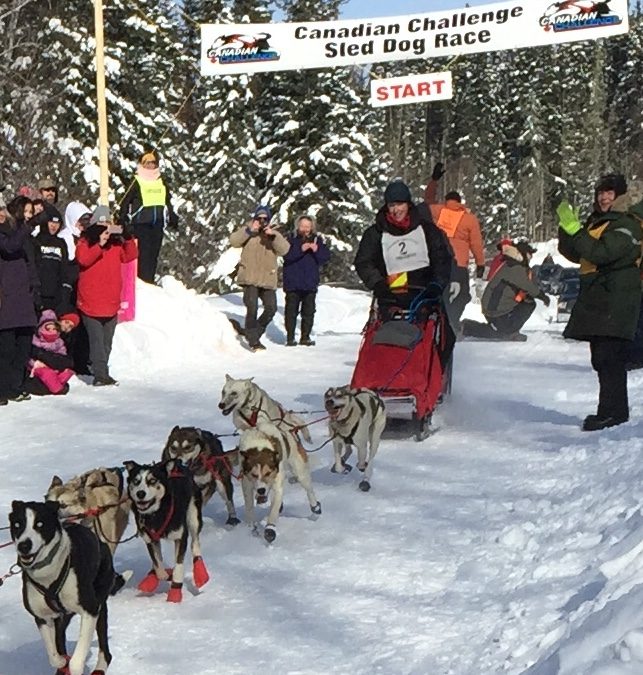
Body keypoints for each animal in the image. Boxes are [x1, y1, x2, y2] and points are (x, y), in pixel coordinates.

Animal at [8, 500, 114, 672]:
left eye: (40, 524)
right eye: (17, 524)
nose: (24, 545)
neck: (47, 574)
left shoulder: (90, 610)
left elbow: (76, 662)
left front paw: (73, 665)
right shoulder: (42, 618)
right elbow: (54, 657)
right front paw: (61, 661)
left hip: (100, 604)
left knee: (105, 650)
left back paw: (99, 668)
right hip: (62, 617)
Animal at [123, 460, 209, 604]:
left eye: (152, 481)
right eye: (136, 481)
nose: (140, 493)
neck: (157, 514)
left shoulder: (181, 537)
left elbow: (178, 566)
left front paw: (175, 592)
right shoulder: (150, 539)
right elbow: (158, 564)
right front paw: (164, 574)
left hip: (194, 516)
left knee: (195, 543)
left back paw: (200, 573)